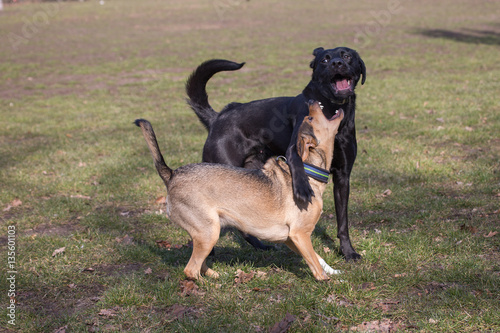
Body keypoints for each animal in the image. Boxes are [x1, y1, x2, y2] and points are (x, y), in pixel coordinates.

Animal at [137, 101, 346, 280]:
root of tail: (172, 175)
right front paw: (328, 281)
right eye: (309, 118)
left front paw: (334, 271)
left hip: (206, 233)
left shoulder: (291, 239)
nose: (311, 101)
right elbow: (315, 265)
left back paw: (216, 275)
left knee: (199, 265)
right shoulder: (299, 235)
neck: (309, 171)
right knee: (190, 270)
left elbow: (318, 258)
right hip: (208, 232)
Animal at [186, 46, 366, 260]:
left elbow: (343, 221)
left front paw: (348, 252)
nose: (337, 63)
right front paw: (303, 188)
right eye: (325, 59)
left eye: (347, 56)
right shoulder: (294, 148)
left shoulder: (343, 176)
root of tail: (217, 118)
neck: (331, 109)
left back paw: (260, 246)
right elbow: (297, 165)